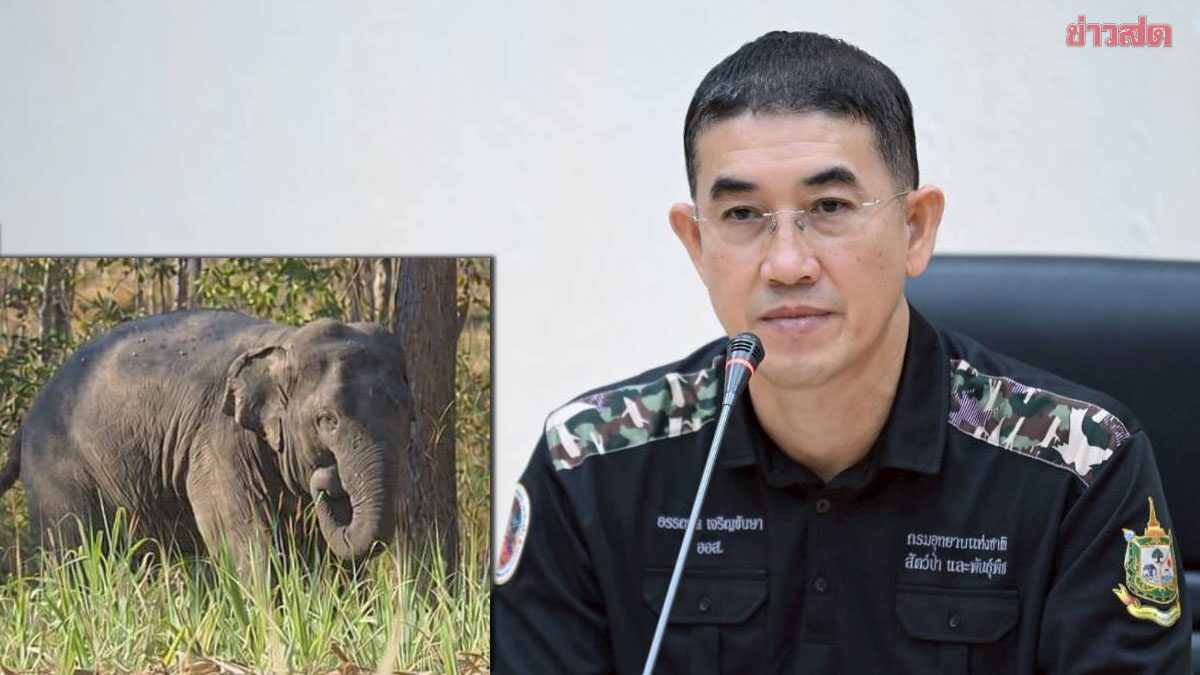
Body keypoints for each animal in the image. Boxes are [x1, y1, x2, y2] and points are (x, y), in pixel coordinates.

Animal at [0, 309, 413, 565]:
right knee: (75, 554)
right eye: (326, 419)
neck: (282, 341)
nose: (328, 480)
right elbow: (243, 538)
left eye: (407, 410)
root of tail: (25, 421)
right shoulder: (217, 440)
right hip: (57, 474)